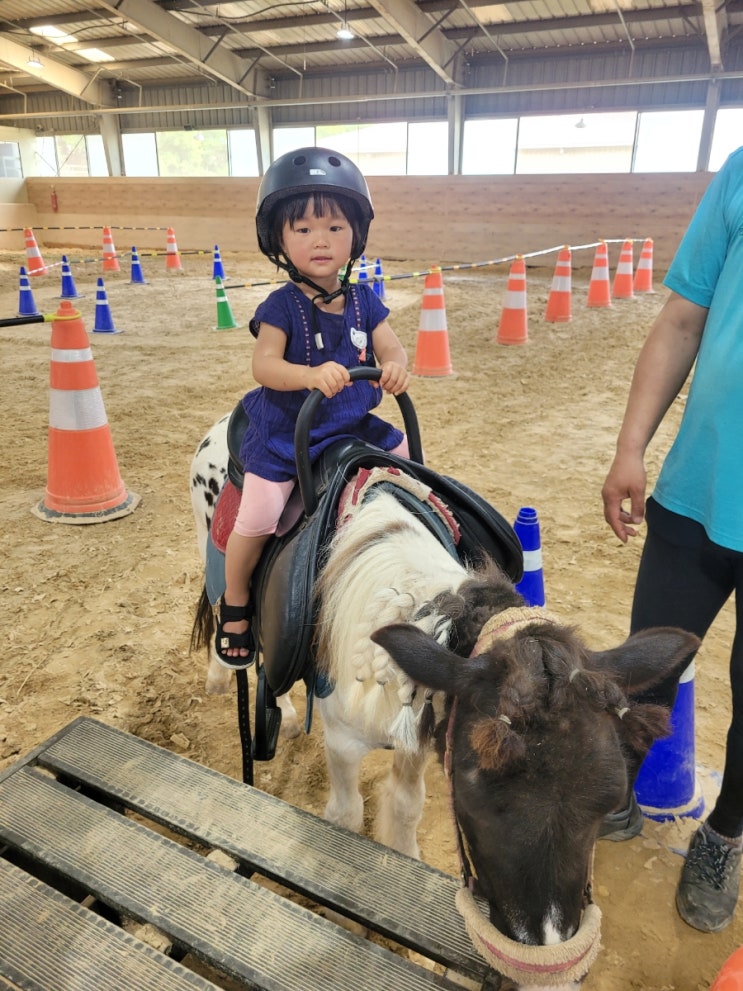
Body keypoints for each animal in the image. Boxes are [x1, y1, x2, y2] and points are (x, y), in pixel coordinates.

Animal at [190, 382, 696, 991]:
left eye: (611, 797)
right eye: (475, 797)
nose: (546, 967)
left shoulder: (420, 729)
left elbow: (406, 811)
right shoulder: (342, 743)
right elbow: (345, 819)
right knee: (230, 608)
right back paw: (237, 677)